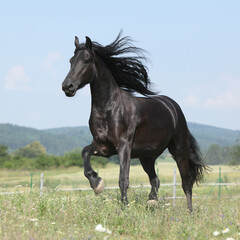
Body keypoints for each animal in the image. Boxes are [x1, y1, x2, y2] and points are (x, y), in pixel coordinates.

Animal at [62, 32, 206, 210]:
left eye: (86, 60)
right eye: (71, 61)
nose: (67, 86)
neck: (109, 109)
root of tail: (173, 107)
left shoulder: (124, 146)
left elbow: (123, 179)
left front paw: (123, 208)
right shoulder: (104, 147)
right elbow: (85, 152)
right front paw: (97, 184)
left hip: (178, 150)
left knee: (186, 182)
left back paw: (189, 212)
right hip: (147, 157)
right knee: (155, 179)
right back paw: (151, 202)